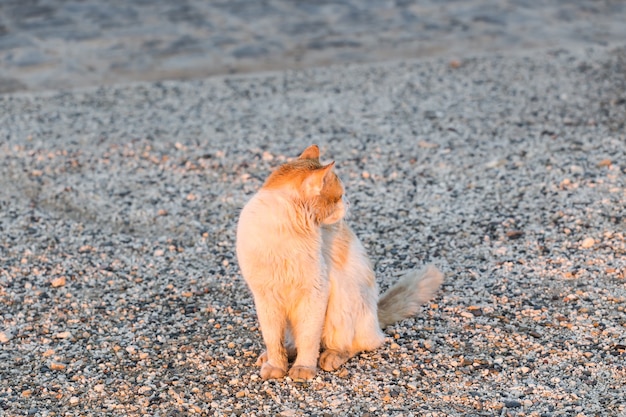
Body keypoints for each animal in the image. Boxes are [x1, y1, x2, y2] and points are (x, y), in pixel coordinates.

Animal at [235, 145, 444, 378]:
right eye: (341, 196)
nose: (349, 203)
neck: (283, 233)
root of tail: (376, 314)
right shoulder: (266, 298)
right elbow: (274, 341)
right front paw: (276, 367)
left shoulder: (315, 294)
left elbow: (308, 340)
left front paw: (303, 369)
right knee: (292, 342)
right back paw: (270, 357)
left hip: (341, 301)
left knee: (356, 344)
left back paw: (330, 358)